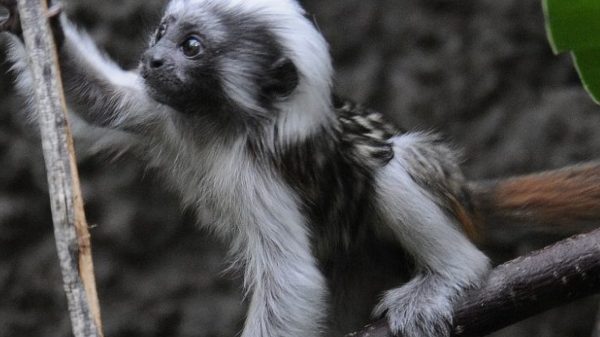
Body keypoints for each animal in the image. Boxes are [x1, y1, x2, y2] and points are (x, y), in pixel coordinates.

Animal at [0, 0, 596, 336]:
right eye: (162, 32)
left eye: (192, 46)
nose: (155, 59)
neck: (219, 123)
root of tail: (469, 193)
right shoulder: (165, 109)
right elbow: (96, 102)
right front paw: (33, 26)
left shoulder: (255, 176)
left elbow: (291, 282)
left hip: (434, 184)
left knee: (385, 167)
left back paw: (451, 274)